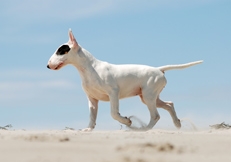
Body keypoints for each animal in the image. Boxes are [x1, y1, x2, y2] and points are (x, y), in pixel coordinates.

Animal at [47, 28, 202, 130]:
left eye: (61, 51)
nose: (47, 65)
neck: (90, 68)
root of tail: (158, 69)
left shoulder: (113, 93)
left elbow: (113, 113)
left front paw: (127, 122)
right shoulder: (92, 99)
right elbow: (92, 116)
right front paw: (88, 129)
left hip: (148, 96)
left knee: (156, 116)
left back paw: (143, 129)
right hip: (148, 96)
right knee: (169, 104)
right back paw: (177, 123)